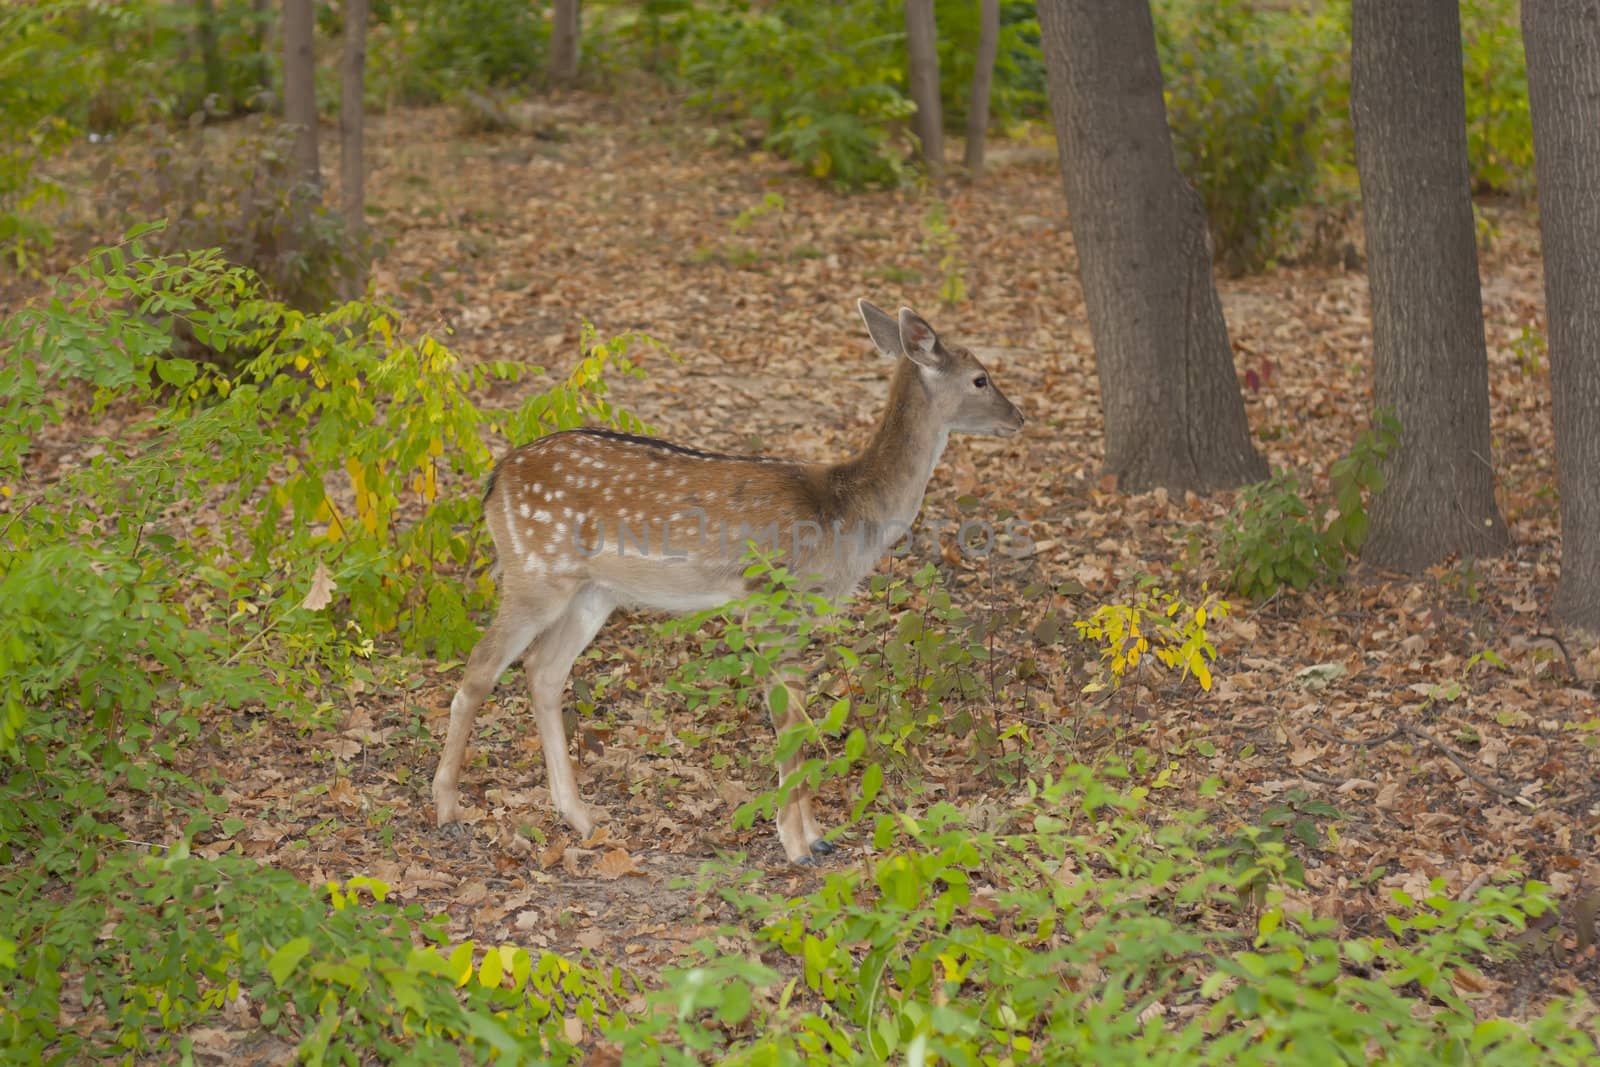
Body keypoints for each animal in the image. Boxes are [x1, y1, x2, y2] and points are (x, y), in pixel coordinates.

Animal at [432, 300, 1024, 870]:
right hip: (536, 570)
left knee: (543, 671)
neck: (846, 514)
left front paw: (818, 838)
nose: (1018, 416)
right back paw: (448, 809)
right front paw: (796, 845)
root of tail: (493, 482)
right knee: (481, 669)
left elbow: (798, 715)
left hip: (593, 592)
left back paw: (581, 817)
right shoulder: (768, 599)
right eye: (980, 378)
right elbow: (787, 718)